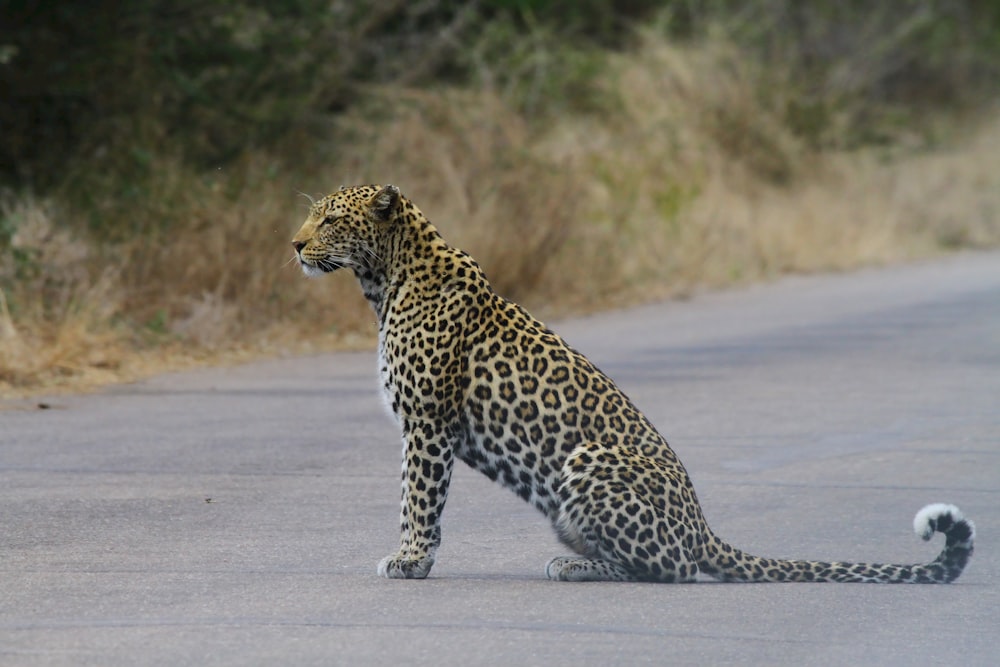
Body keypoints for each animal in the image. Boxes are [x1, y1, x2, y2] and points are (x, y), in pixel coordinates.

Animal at [292, 184, 976, 584]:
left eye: (329, 220)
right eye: (310, 216)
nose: (294, 244)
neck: (384, 280)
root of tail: (702, 526)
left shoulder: (428, 423)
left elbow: (419, 498)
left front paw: (409, 560)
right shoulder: (423, 425)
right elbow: (413, 496)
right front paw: (412, 558)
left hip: (589, 459)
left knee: (671, 569)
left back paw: (573, 568)